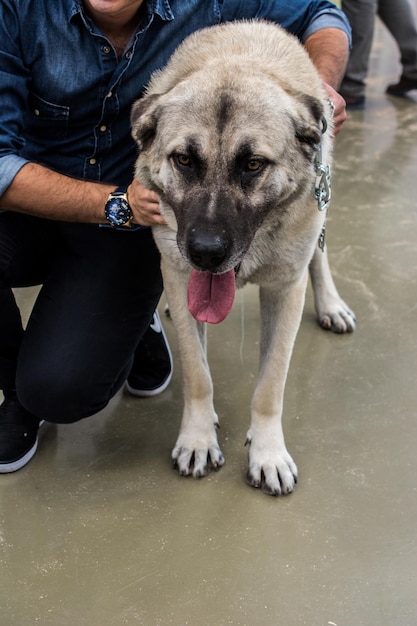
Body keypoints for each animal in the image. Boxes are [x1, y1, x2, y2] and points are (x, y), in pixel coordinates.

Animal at [131, 19, 354, 494]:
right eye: (184, 159)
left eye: (253, 164)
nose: (206, 253)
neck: (236, 57)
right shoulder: (178, 274)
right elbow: (198, 373)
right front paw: (197, 438)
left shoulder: (284, 290)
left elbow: (270, 386)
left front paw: (268, 454)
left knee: (319, 254)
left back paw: (330, 303)